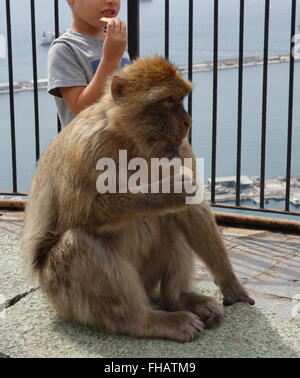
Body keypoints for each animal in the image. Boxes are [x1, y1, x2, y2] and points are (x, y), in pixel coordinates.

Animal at [22, 55, 254, 342]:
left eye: (181, 98)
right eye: (169, 100)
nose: (187, 121)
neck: (132, 141)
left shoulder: (179, 147)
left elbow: (192, 210)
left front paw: (231, 284)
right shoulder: (87, 146)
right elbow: (78, 211)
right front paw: (168, 191)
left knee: (172, 224)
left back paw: (178, 299)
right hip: (64, 297)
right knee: (78, 243)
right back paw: (146, 321)